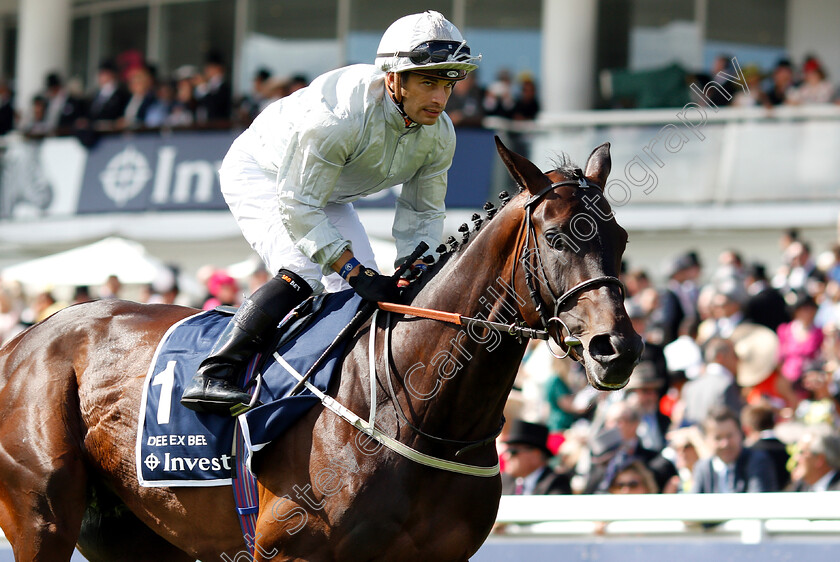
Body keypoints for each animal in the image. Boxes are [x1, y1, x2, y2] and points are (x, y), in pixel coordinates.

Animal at [1, 137, 644, 560]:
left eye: (620, 237)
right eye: (558, 236)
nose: (618, 347)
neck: (421, 406)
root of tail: (27, 336)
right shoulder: (288, 550)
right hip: (41, 513)